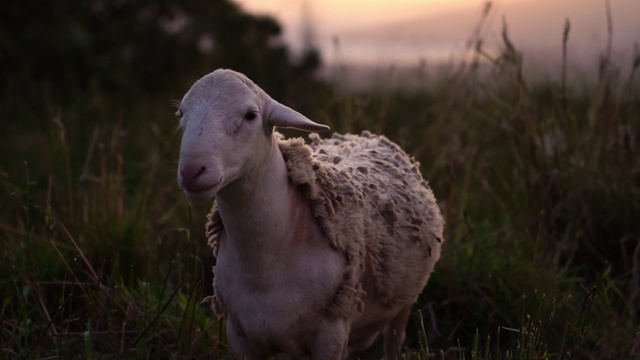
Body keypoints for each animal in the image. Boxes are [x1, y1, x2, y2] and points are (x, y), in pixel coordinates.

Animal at [176, 69, 444, 358]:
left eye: (250, 115)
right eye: (181, 113)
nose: (192, 171)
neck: (265, 265)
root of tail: (366, 135)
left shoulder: (331, 332)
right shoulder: (238, 334)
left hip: (402, 303)